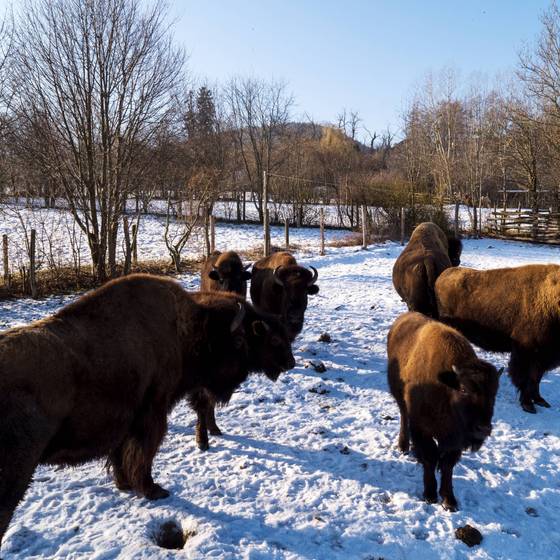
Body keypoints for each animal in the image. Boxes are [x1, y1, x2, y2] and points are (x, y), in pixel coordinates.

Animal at [0, 274, 296, 548]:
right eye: (269, 338)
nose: (289, 362)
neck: (186, 329)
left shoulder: (124, 423)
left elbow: (120, 456)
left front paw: (124, 485)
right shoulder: (152, 415)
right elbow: (143, 455)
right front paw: (153, 490)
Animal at [388, 310, 500, 512]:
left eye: (494, 394)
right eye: (463, 389)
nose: (483, 429)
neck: (446, 387)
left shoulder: (455, 440)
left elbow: (447, 465)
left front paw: (449, 500)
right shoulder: (422, 429)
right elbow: (430, 458)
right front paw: (430, 495)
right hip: (400, 399)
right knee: (403, 417)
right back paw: (404, 446)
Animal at [438, 264, 560, 414]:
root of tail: (444, 274)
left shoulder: (542, 358)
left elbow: (536, 379)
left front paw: (540, 400)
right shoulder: (526, 354)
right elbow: (526, 379)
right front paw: (528, 405)